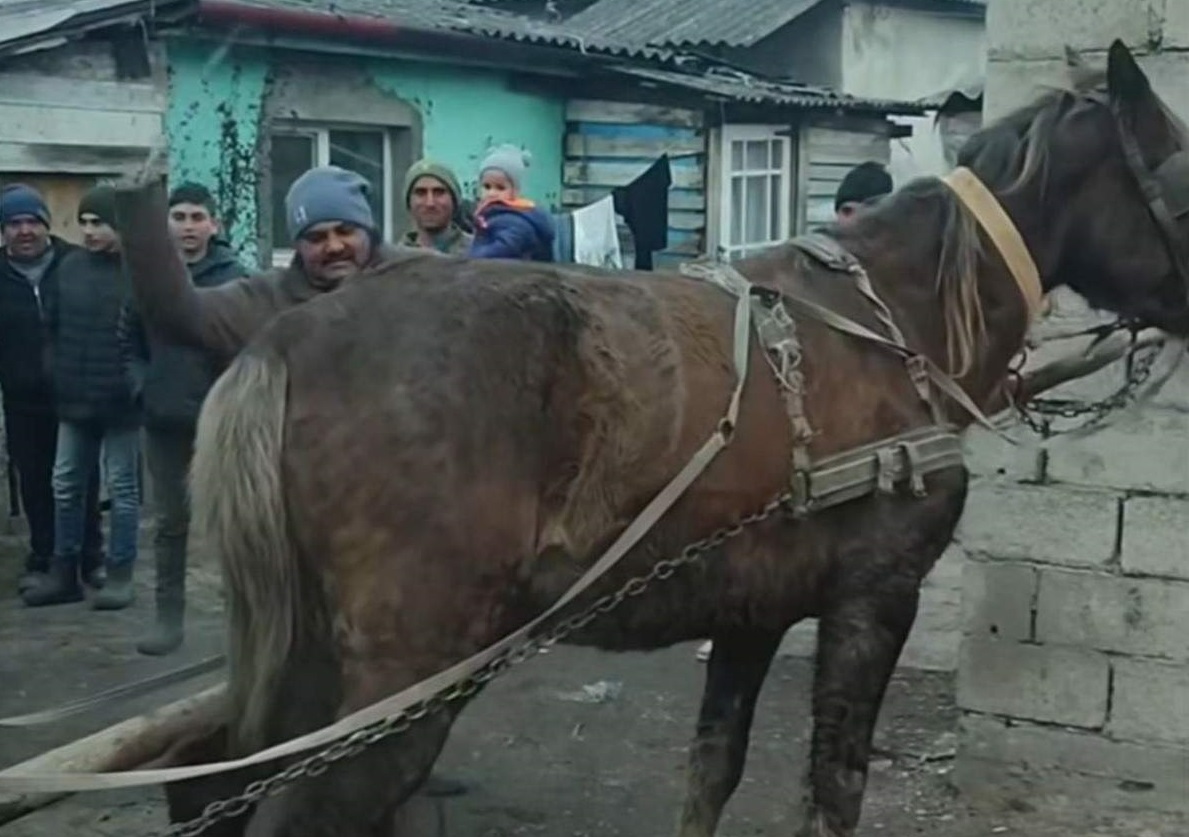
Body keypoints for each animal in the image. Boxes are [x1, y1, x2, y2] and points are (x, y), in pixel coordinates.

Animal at [173, 42, 1189, 837]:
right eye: (1181, 177)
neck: (891, 320)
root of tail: (285, 341)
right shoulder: (875, 596)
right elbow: (834, 788)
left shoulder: (752, 612)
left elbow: (713, 770)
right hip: (411, 671)